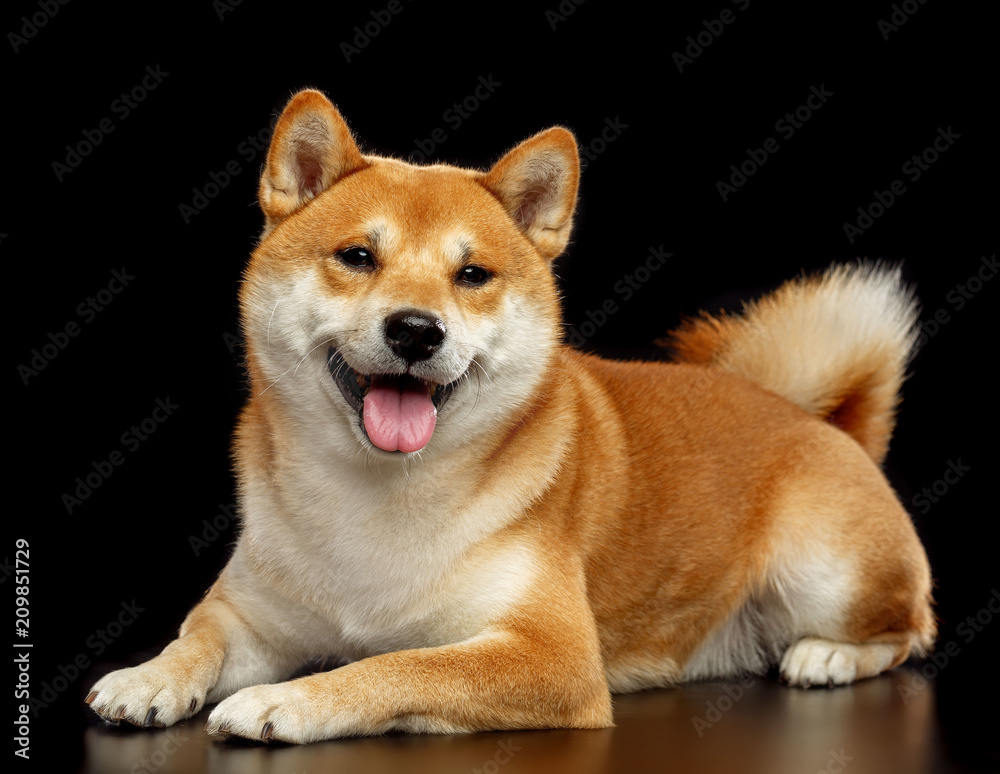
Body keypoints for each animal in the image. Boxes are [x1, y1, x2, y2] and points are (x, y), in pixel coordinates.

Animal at [86, 88, 936, 744]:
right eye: (358, 256)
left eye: (472, 275)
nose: (416, 330)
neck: (377, 496)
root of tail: (822, 423)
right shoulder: (253, 615)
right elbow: (196, 635)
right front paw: (149, 677)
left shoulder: (549, 655)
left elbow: (392, 664)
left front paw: (285, 701)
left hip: (826, 570)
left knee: (908, 632)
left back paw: (828, 656)